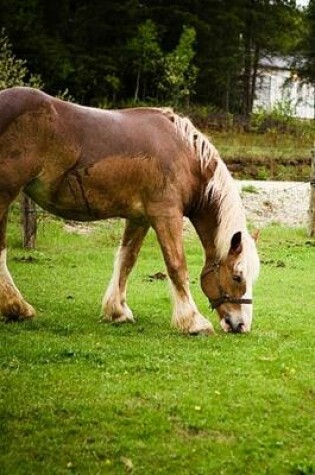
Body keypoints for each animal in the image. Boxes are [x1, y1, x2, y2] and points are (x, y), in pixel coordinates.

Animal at [0, 87, 260, 336]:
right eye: (237, 276)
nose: (241, 325)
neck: (183, 154)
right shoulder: (166, 215)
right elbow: (177, 265)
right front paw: (193, 322)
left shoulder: (139, 219)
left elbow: (127, 259)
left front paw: (117, 311)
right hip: (5, 194)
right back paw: (17, 307)